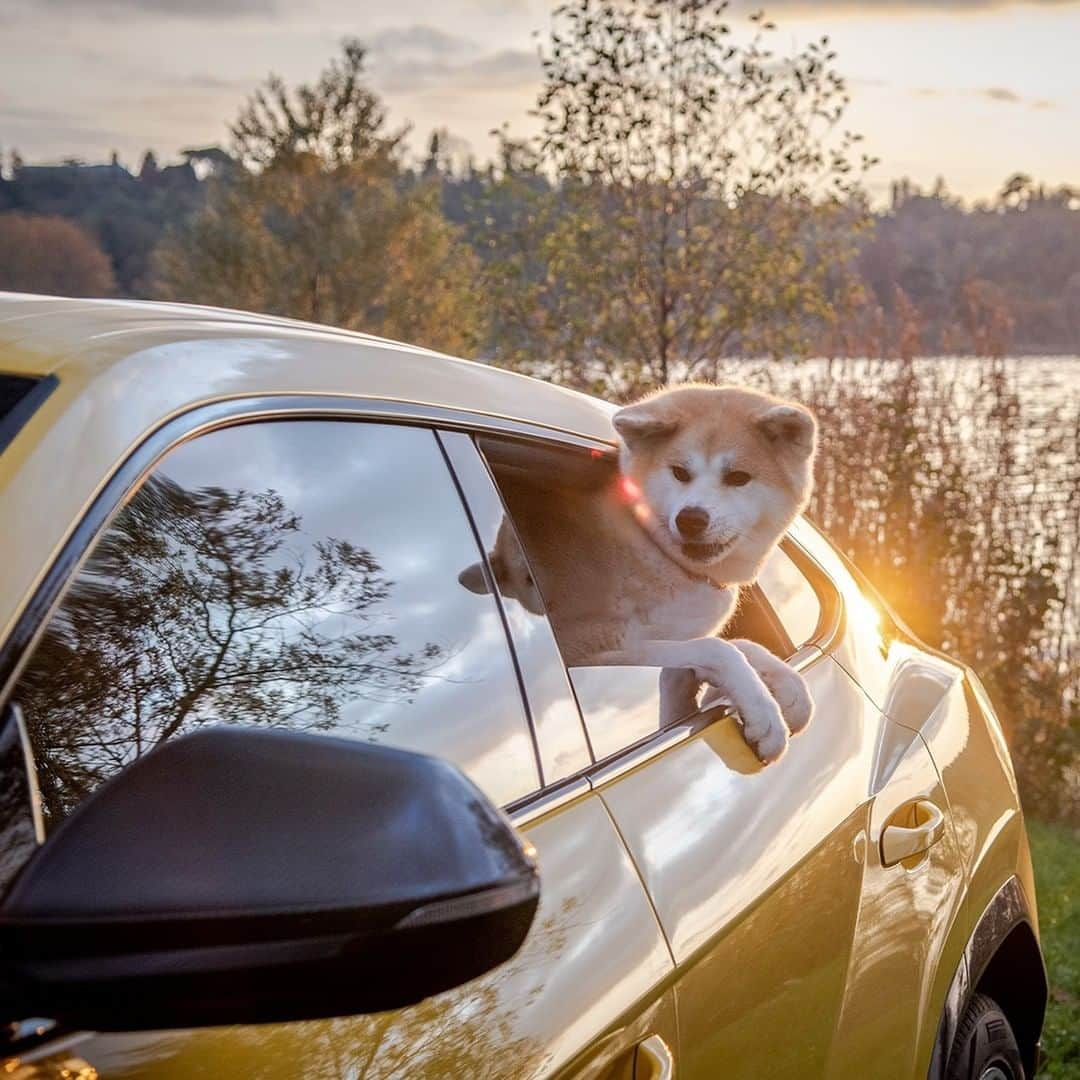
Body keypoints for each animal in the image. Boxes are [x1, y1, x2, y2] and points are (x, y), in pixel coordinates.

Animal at [460, 384, 812, 764]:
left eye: (737, 478)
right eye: (680, 472)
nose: (690, 519)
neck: (651, 545)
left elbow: (740, 645)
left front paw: (789, 690)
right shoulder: (585, 650)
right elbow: (718, 649)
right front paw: (764, 714)